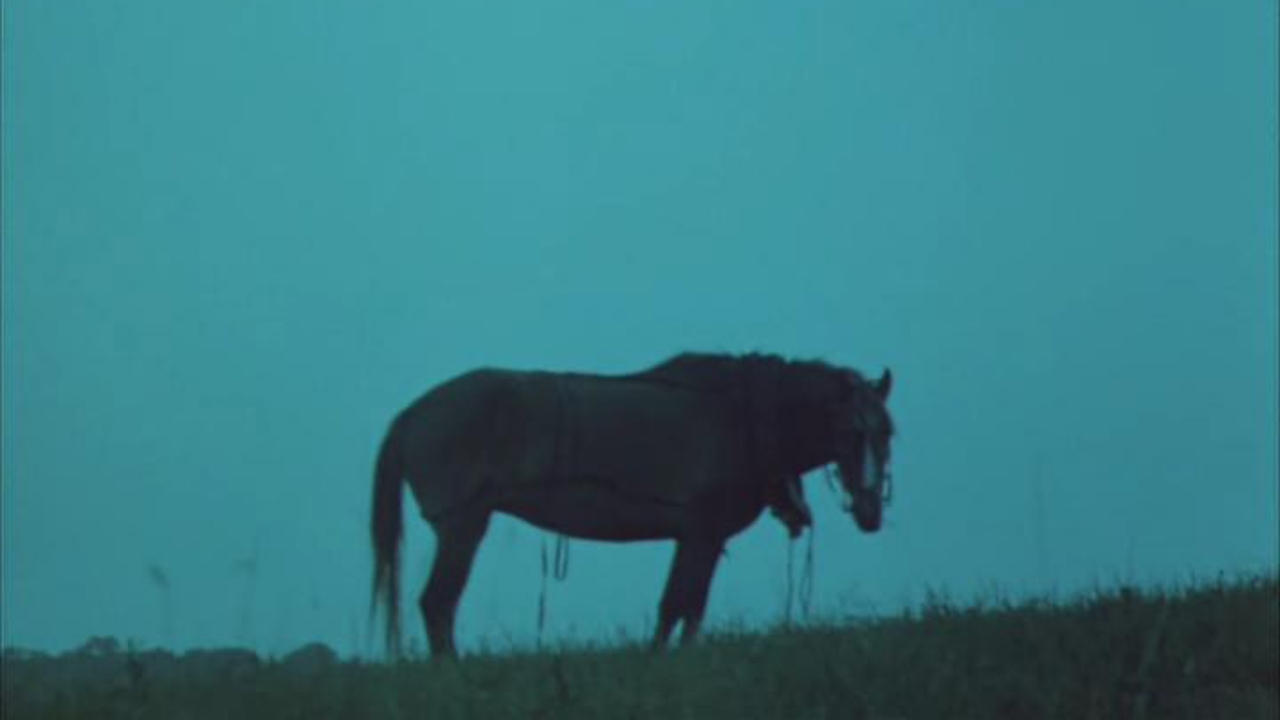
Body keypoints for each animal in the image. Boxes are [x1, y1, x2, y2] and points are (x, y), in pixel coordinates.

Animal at [366, 351, 896, 655]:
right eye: (850, 432)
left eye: (888, 432)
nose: (871, 513)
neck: (739, 416)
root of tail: (410, 415)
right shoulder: (699, 534)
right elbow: (677, 604)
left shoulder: (700, 539)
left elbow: (685, 606)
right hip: (462, 525)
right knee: (438, 603)